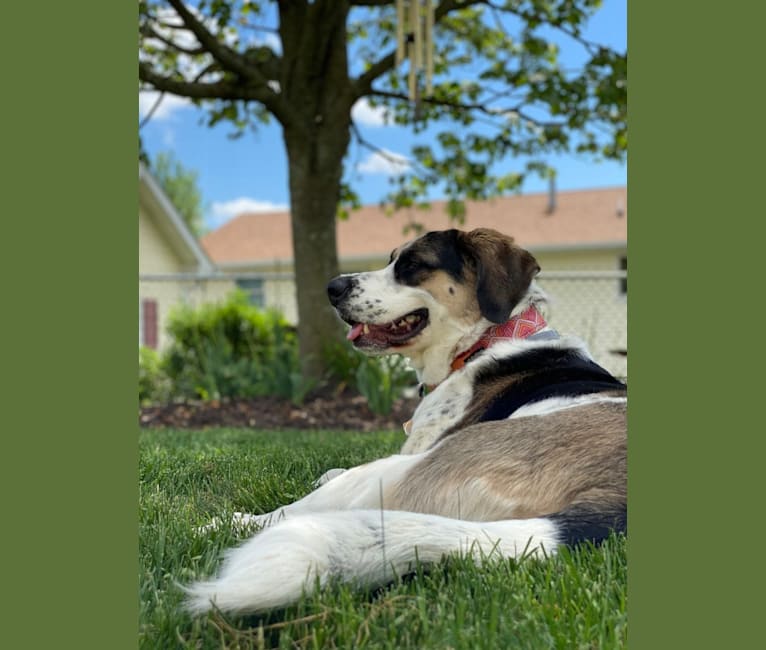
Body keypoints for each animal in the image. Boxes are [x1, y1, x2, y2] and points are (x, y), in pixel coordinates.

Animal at [184, 227, 624, 612]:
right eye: (390, 258)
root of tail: (616, 507)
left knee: (293, 512)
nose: (333, 287)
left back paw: (224, 523)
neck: (488, 339)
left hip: (399, 471)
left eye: (412, 265)